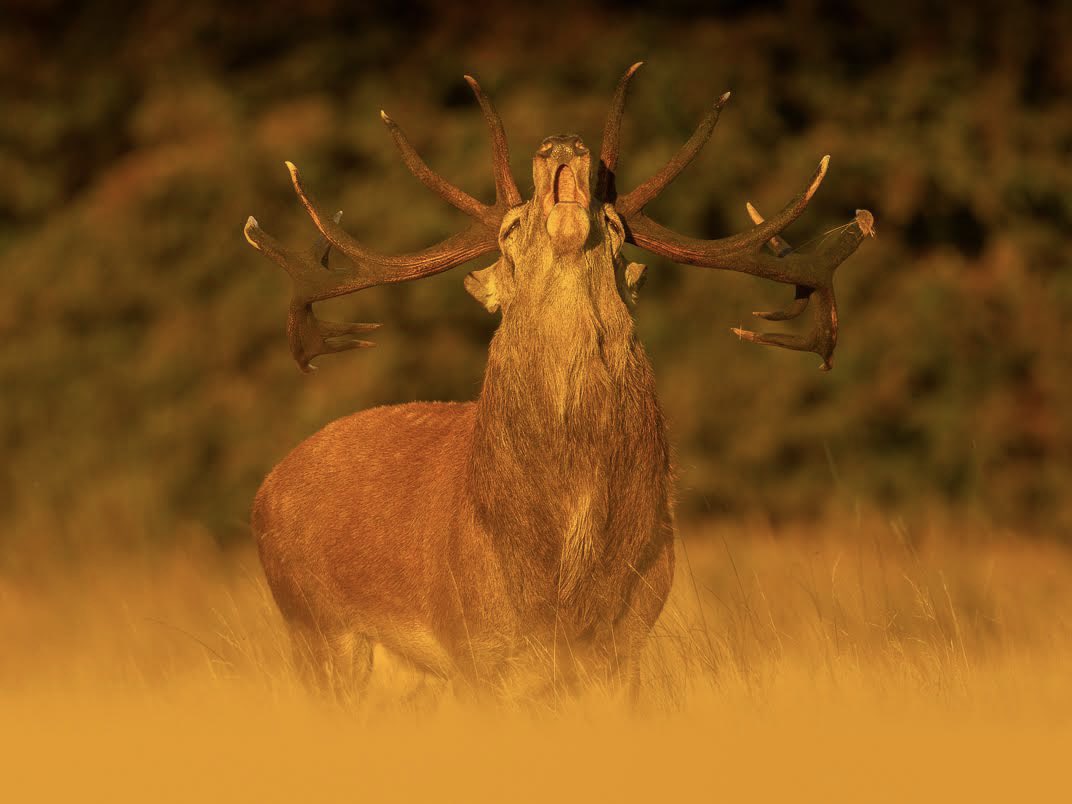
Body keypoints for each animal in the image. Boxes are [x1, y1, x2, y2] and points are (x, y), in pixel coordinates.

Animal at [243, 66, 870, 703]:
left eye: (615, 226)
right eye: (510, 230)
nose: (562, 143)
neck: (563, 567)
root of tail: (266, 487)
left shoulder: (628, 637)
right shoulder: (473, 643)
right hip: (315, 628)